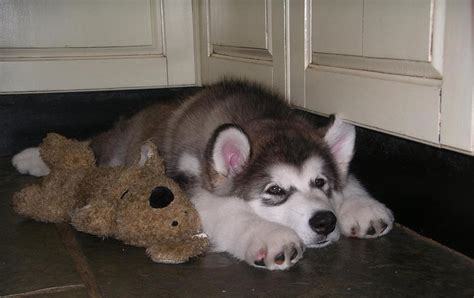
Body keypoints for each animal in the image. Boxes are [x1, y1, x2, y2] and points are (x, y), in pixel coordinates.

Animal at [13, 79, 392, 270]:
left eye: (320, 183)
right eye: (274, 190)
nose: (325, 222)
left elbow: (349, 180)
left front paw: (361, 207)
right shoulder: (187, 187)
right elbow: (229, 212)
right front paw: (270, 236)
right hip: (114, 150)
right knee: (90, 148)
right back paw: (31, 156)